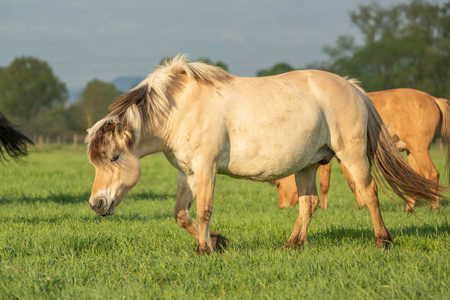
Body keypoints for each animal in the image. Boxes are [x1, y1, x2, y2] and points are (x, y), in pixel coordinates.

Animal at [278, 88, 450, 211]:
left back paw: (434, 206)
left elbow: (325, 183)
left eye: (278, 185)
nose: (282, 207)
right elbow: (352, 182)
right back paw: (408, 207)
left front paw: (323, 207)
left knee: (432, 174)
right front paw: (362, 205)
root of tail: (433, 99)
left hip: (419, 149)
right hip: (412, 151)